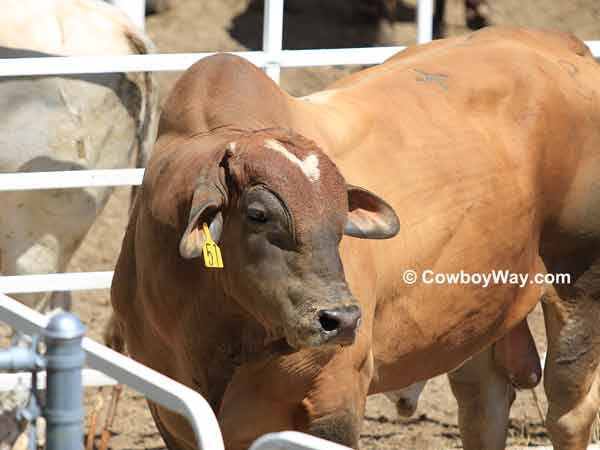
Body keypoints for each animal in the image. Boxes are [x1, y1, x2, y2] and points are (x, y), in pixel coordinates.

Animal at [110, 26, 600, 448]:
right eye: (257, 214)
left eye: (340, 214)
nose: (342, 319)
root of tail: (569, 47)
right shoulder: (170, 410)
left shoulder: (335, 400)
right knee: (483, 403)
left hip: (578, 282)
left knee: (568, 410)